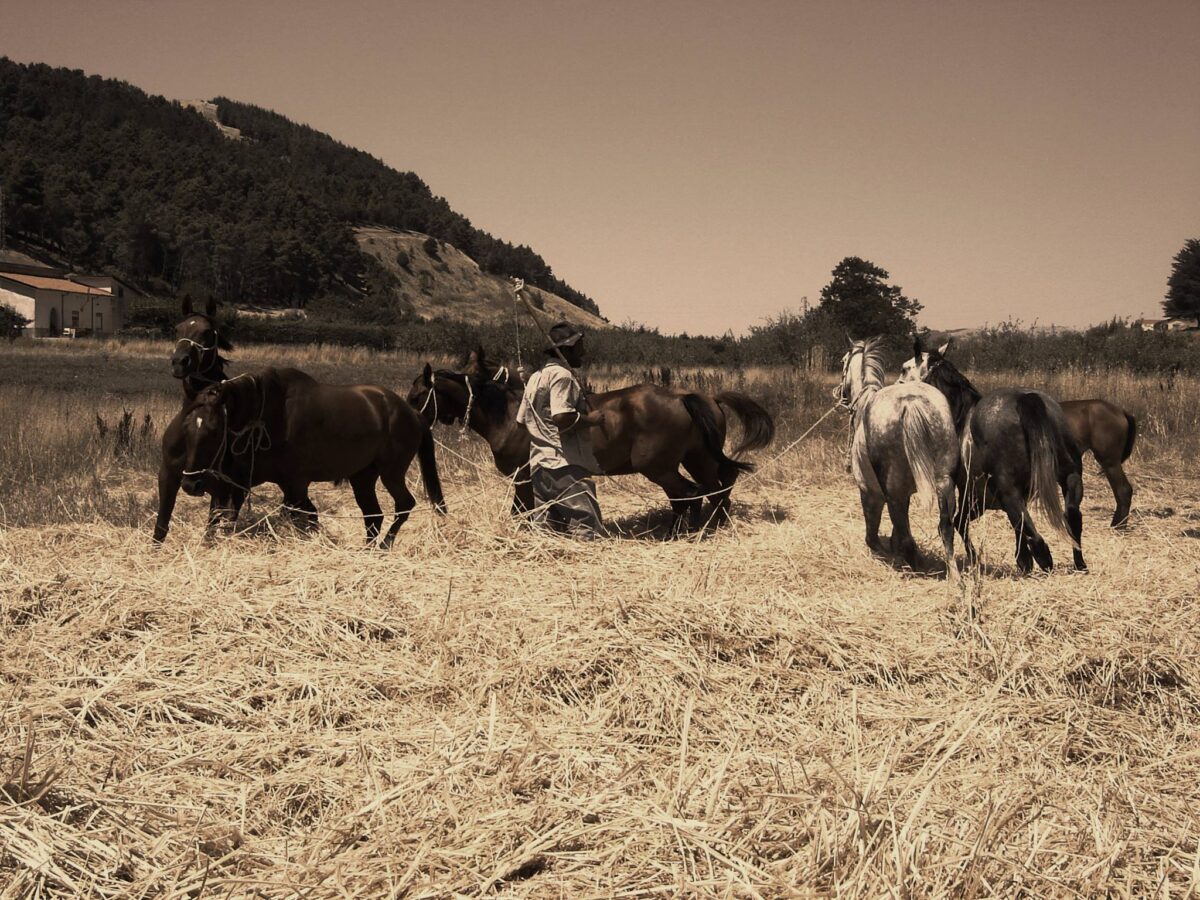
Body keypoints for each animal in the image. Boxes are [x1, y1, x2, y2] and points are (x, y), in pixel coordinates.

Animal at [154, 367, 446, 545]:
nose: (191, 484)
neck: (269, 416)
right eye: (186, 429)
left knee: (404, 504)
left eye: (214, 432)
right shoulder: (242, 485)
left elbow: (306, 516)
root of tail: (412, 413)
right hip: (362, 477)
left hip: (391, 473)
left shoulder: (295, 484)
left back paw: (385, 545)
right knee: (373, 515)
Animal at [407, 348, 775, 530]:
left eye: (416, 396)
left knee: (688, 494)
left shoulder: (523, 477)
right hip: (697, 458)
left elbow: (520, 512)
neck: (509, 415)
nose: (409, 418)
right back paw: (712, 524)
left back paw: (686, 531)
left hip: (660, 467)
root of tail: (686, 397)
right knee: (716, 486)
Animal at [838, 337, 959, 576]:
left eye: (843, 362)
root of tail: (911, 402)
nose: (838, 392)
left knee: (904, 536)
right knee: (945, 528)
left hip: (892, 493)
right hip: (944, 484)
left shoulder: (870, 492)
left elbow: (873, 537)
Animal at [899, 337, 1086, 573]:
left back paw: (1044, 560)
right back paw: (1078, 563)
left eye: (905, 369)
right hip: (1070, 476)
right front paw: (1021, 560)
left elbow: (959, 522)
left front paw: (978, 559)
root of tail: (1026, 399)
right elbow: (1014, 525)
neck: (961, 415)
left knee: (1032, 532)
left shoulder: (975, 496)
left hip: (1006, 490)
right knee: (1070, 516)